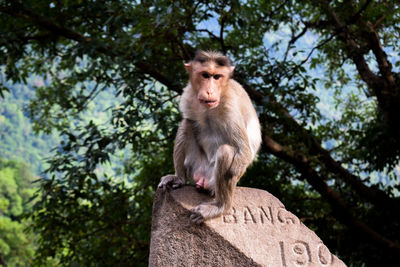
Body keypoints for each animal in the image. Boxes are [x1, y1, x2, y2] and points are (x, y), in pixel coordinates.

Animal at [159, 49, 262, 224]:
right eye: (205, 75)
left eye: (217, 77)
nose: (209, 91)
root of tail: (204, 179)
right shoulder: (188, 95)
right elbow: (189, 121)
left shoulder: (230, 106)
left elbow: (243, 151)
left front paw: (236, 166)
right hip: (196, 166)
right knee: (187, 124)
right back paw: (179, 178)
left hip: (214, 182)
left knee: (226, 152)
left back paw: (221, 207)